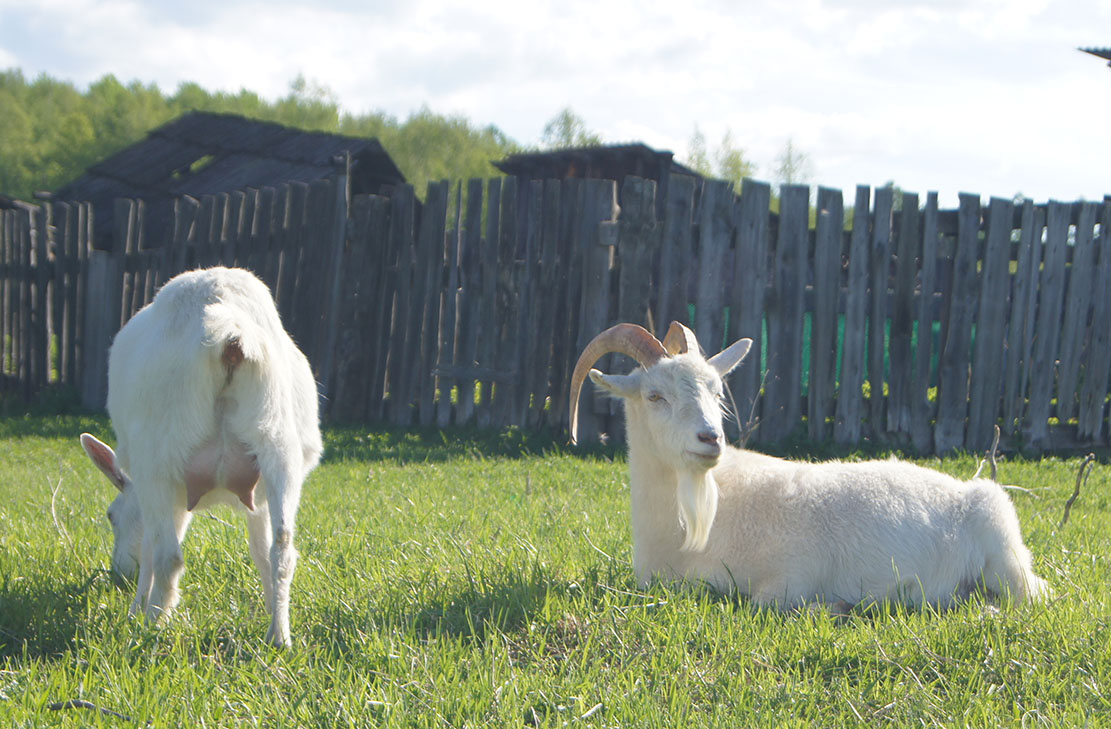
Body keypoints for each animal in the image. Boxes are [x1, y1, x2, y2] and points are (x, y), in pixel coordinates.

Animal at [80, 267, 322, 646]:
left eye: (110, 516)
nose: (118, 576)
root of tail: (229, 335)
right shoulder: (258, 495)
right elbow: (262, 550)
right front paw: (271, 610)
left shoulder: (153, 490)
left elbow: (151, 548)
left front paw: (137, 609)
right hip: (278, 446)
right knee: (283, 549)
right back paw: (280, 637)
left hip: (160, 452)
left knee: (168, 556)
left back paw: (153, 628)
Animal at [570, 322, 1049, 610]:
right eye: (654, 396)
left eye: (716, 390)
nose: (711, 438)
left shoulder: (792, 572)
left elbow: (764, 602)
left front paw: (837, 606)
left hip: (1005, 556)